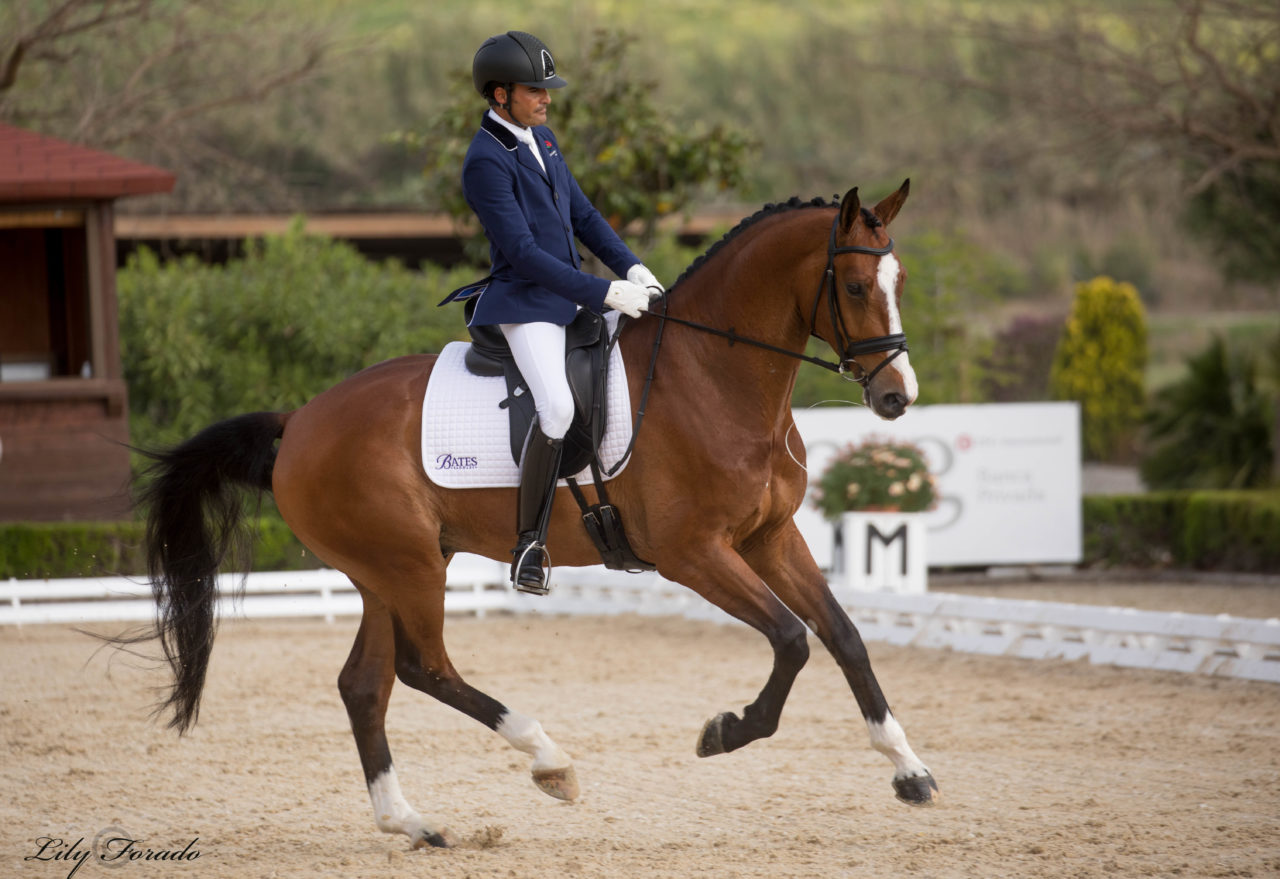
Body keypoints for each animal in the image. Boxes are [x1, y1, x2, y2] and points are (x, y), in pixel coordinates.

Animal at [137, 180, 942, 854]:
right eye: (856, 285)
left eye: (900, 283)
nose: (897, 396)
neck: (713, 376)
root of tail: (300, 419)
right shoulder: (693, 553)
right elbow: (790, 640)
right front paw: (727, 730)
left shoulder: (770, 537)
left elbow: (843, 635)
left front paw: (909, 770)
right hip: (408, 566)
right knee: (424, 666)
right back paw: (549, 760)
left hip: (388, 571)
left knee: (366, 684)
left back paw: (413, 822)